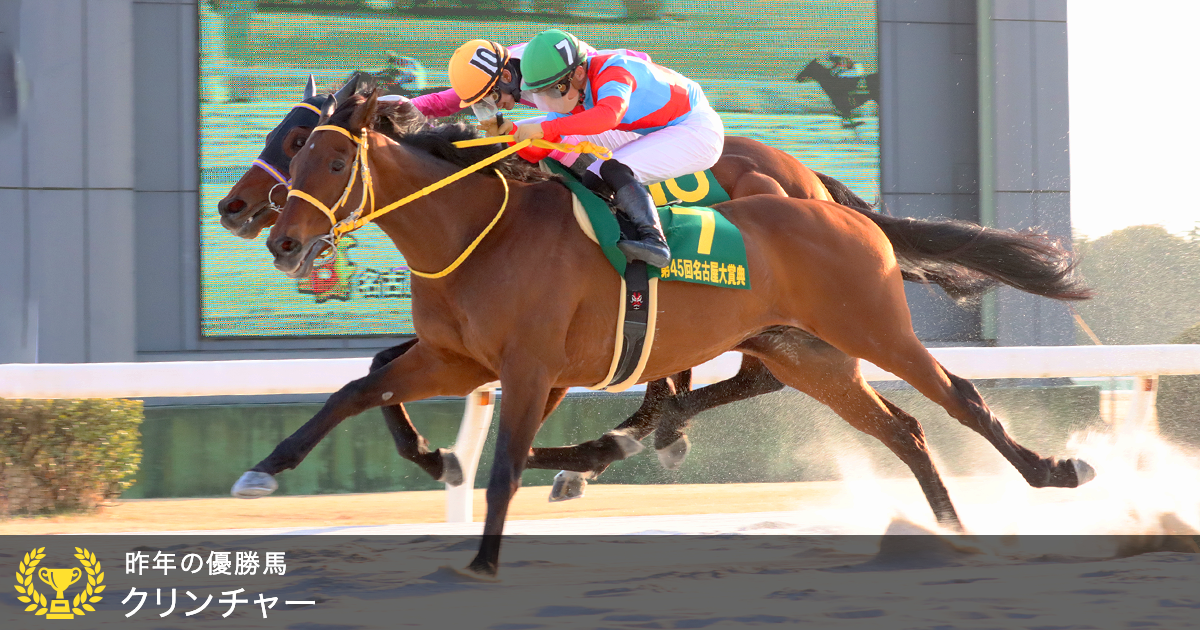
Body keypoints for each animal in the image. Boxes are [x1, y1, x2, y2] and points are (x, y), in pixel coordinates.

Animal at [262, 91, 1094, 576]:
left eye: (329, 159)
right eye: (293, 153)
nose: (276, 236)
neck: (477, 231)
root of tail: (838, 207)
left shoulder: (528, 366)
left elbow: (502, 463)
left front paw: (485, 554)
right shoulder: (455, 358)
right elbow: (355, 390)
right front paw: (268, 469)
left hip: (877, 330)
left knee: (960, 400)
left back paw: (1054, 472)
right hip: (812, 357)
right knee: (905, 429)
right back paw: (947, 526)